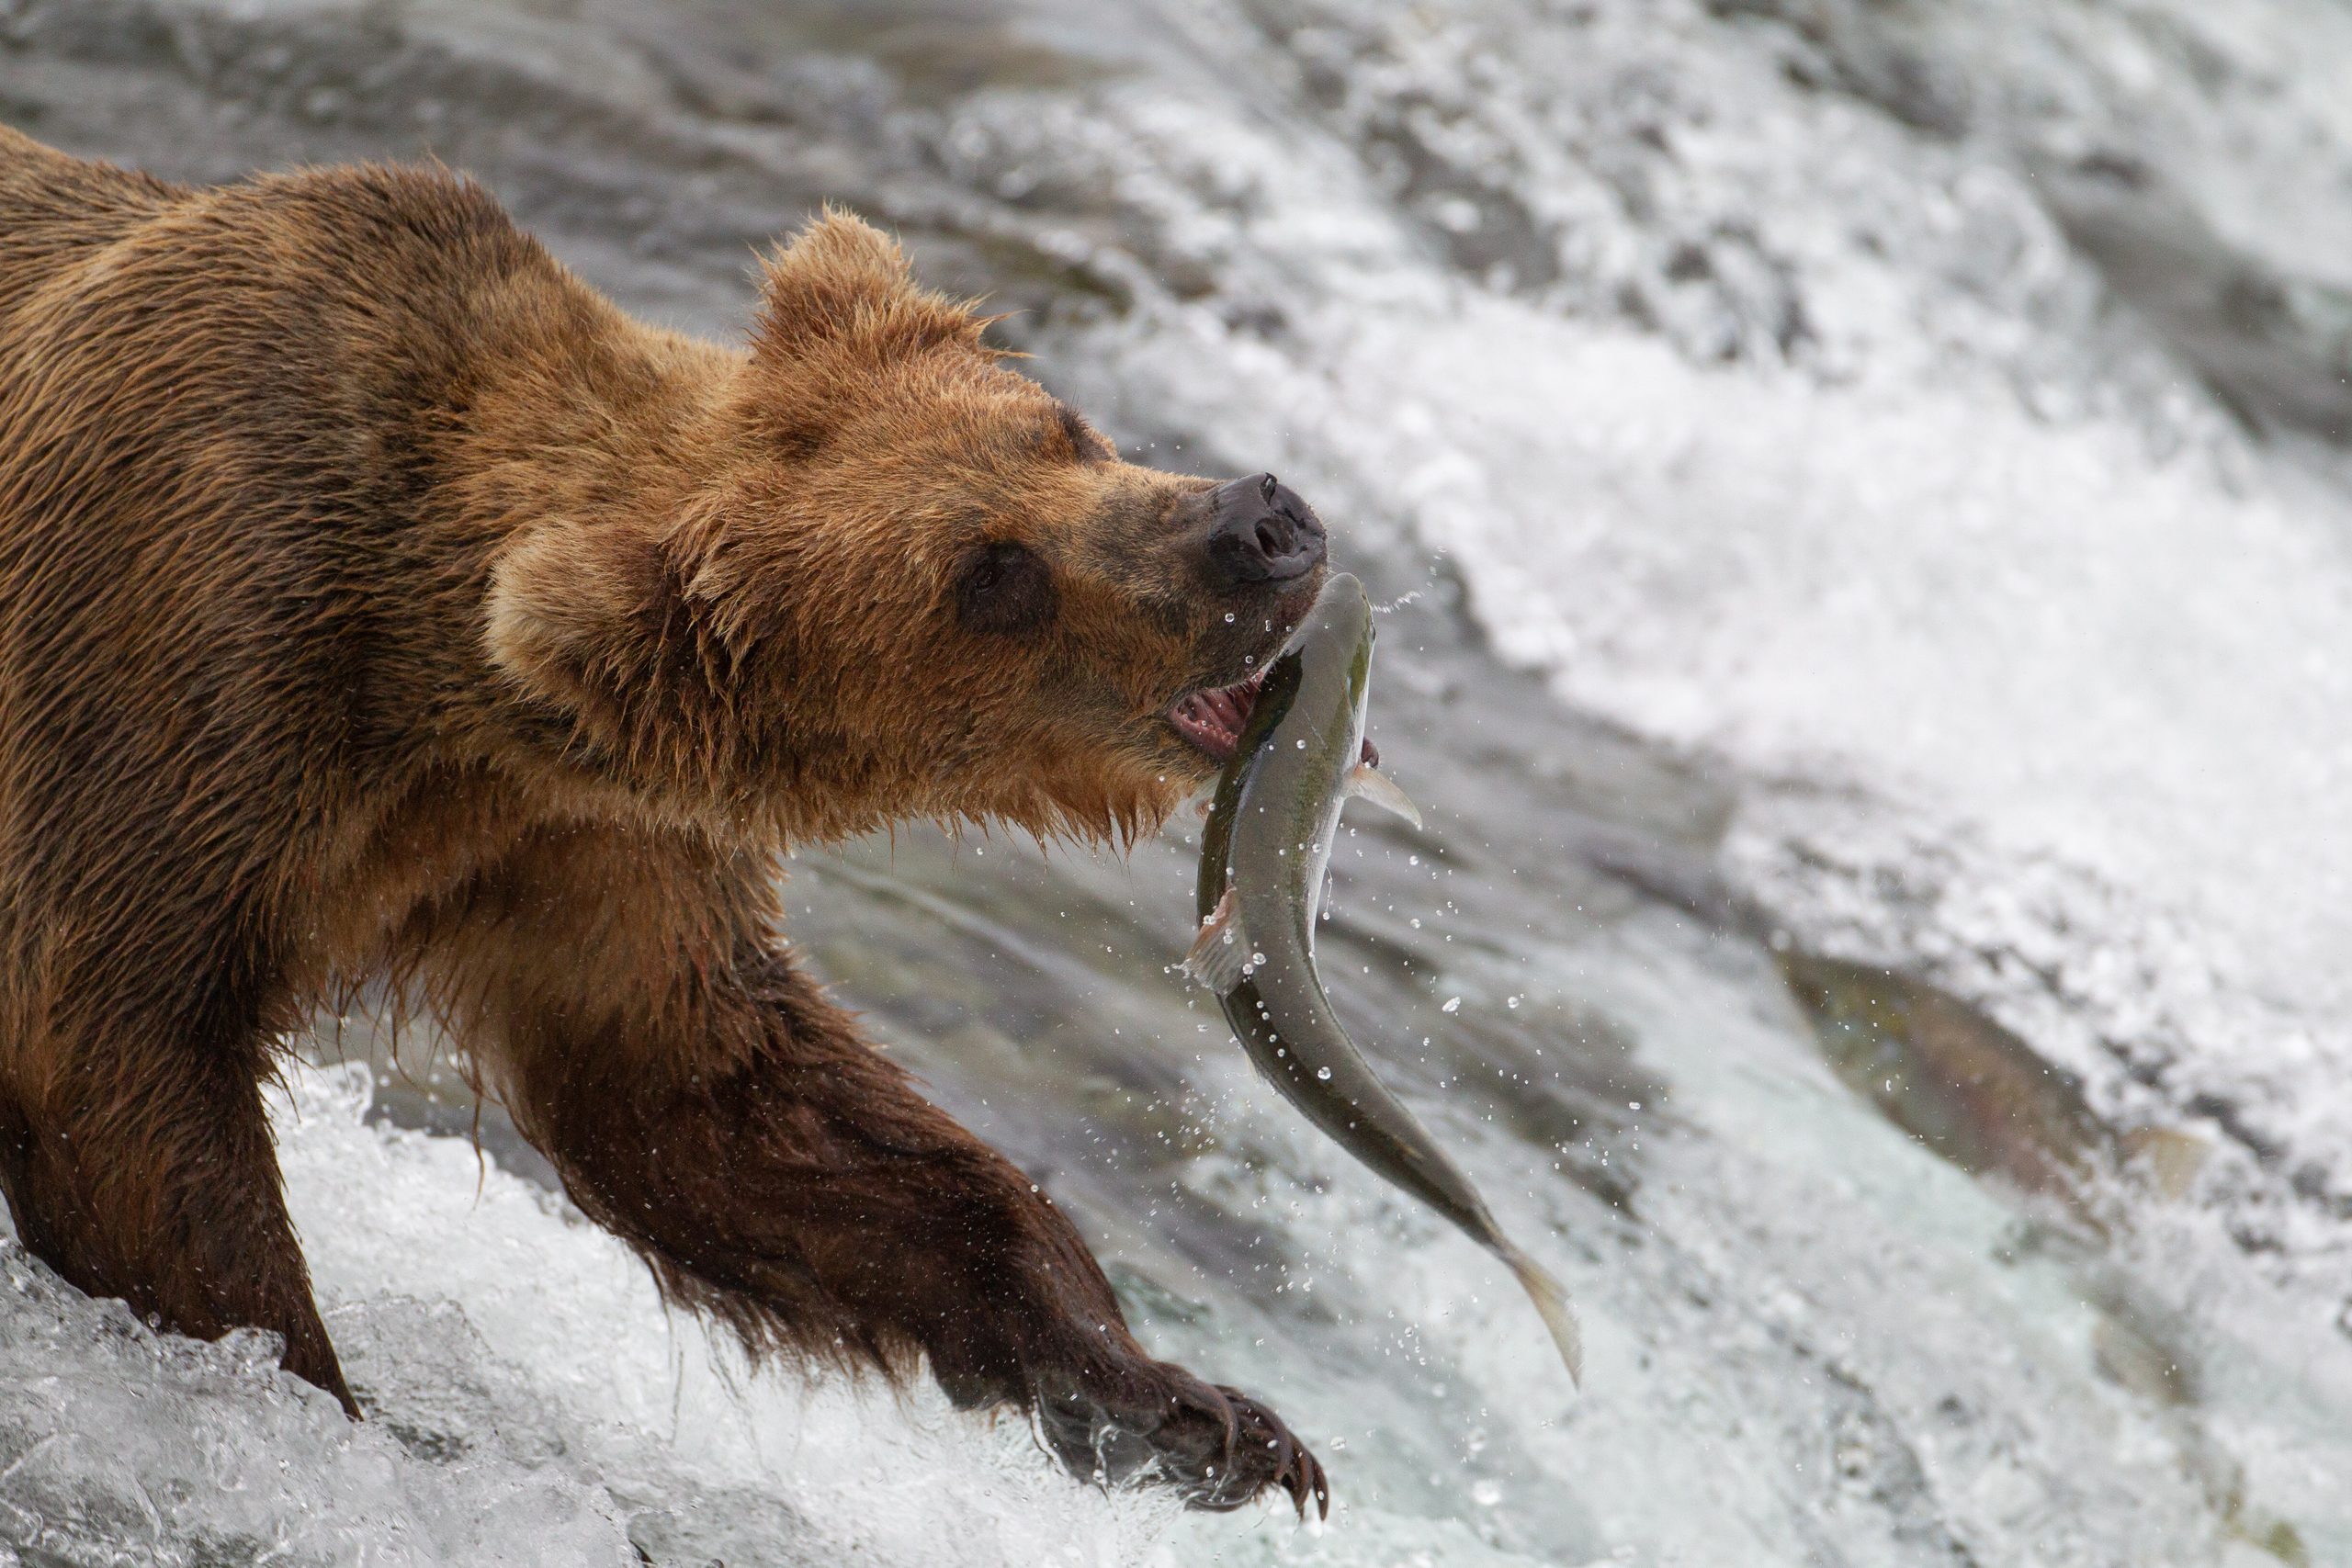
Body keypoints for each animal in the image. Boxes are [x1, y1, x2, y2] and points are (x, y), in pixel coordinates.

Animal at [0, 125, 1331, 1516]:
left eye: (1063, 428)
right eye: (991, 573)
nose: (1258, 525)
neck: (434, 689)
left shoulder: (578, 841)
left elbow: (715, 1099)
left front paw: (1191, 1411)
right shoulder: (182, 656)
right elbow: (120, 1056)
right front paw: (326, 1414)